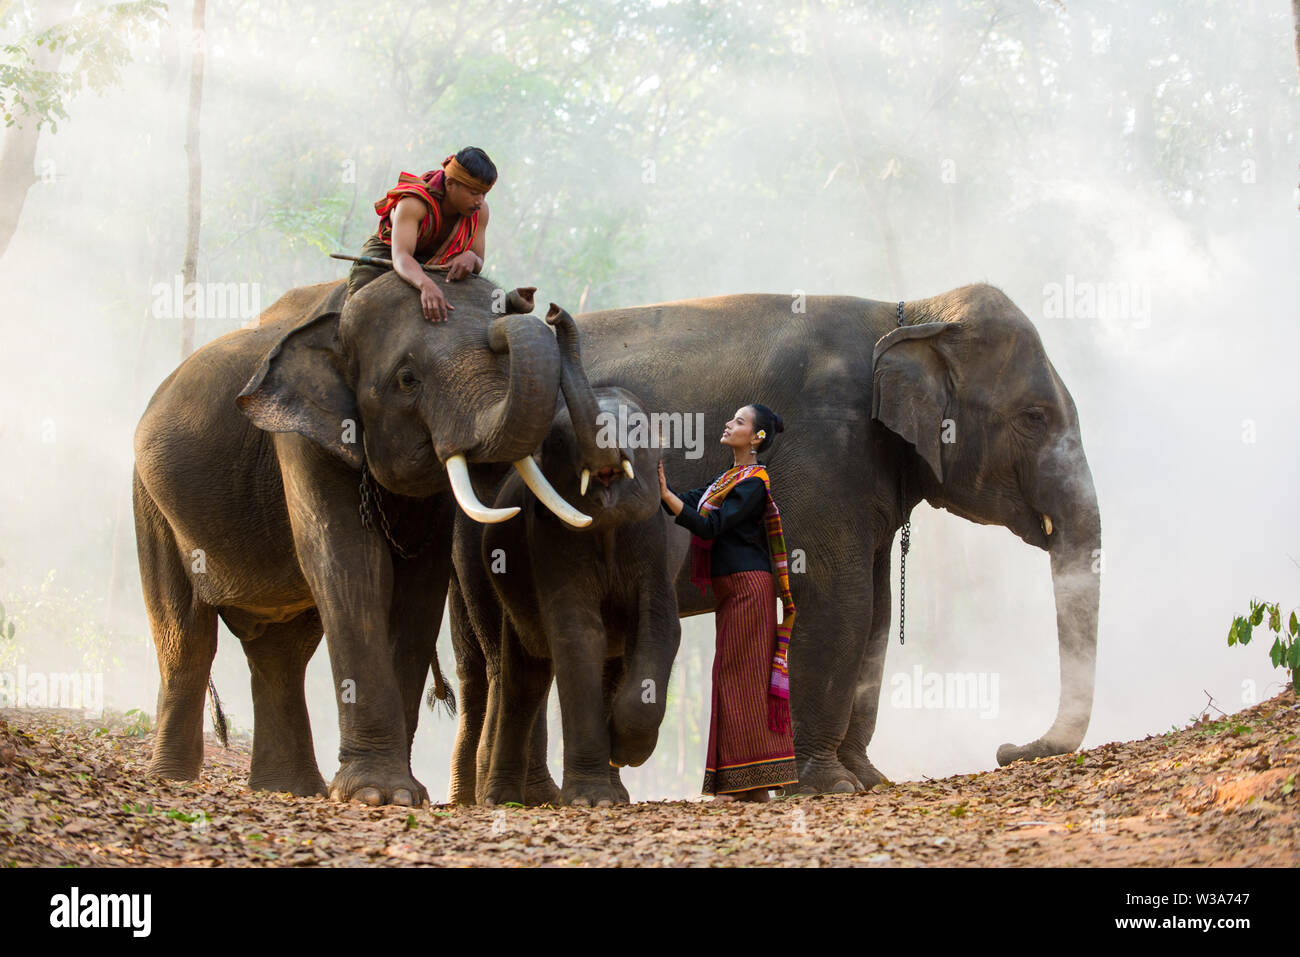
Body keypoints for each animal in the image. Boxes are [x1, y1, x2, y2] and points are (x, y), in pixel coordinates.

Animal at [132, 270, 593, 806]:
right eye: (407, 379)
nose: (540, 306)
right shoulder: (302, 437)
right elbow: (351, 565)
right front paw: (378, 795)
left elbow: (419, 584)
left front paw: (398, 795)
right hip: (152, 504)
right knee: (186, 636)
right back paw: (174, 779)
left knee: (281, 651)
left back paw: (288, 789)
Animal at [447, 305, 687, 807]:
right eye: (559, 439)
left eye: (637, 429)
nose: (554, 312)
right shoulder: (550, 541)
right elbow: (577, 634)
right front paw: (590, 800)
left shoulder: (653, 540)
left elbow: (658, 624)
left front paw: (624, 746)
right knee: (524, 679)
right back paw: (501, 799)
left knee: (607, 663)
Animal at [564, 283, 1101, 794]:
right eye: (1034, 417)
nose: (1006, 749)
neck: (910, 313)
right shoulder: (824, 446)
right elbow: (840, 599)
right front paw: (827, 786)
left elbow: (877, 611)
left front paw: (868, 779)